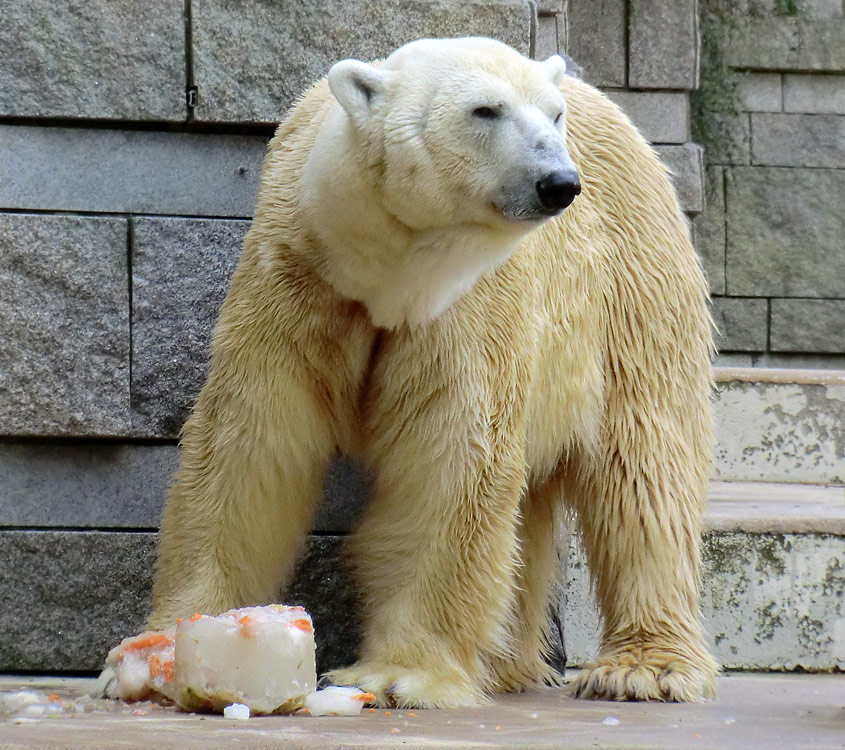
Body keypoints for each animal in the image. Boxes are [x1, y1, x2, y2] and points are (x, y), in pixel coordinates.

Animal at [135, 38, 716, 712]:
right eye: (485, 109)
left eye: (554, 114)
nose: (558, 183)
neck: (385, 273)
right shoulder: (297, 276)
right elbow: (251, 438)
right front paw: (170, 643)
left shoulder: (465, 301)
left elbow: (449, 455)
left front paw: (399, 677)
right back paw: (506, 665)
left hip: (631, 288)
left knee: (643, 465)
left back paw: (644, 669)